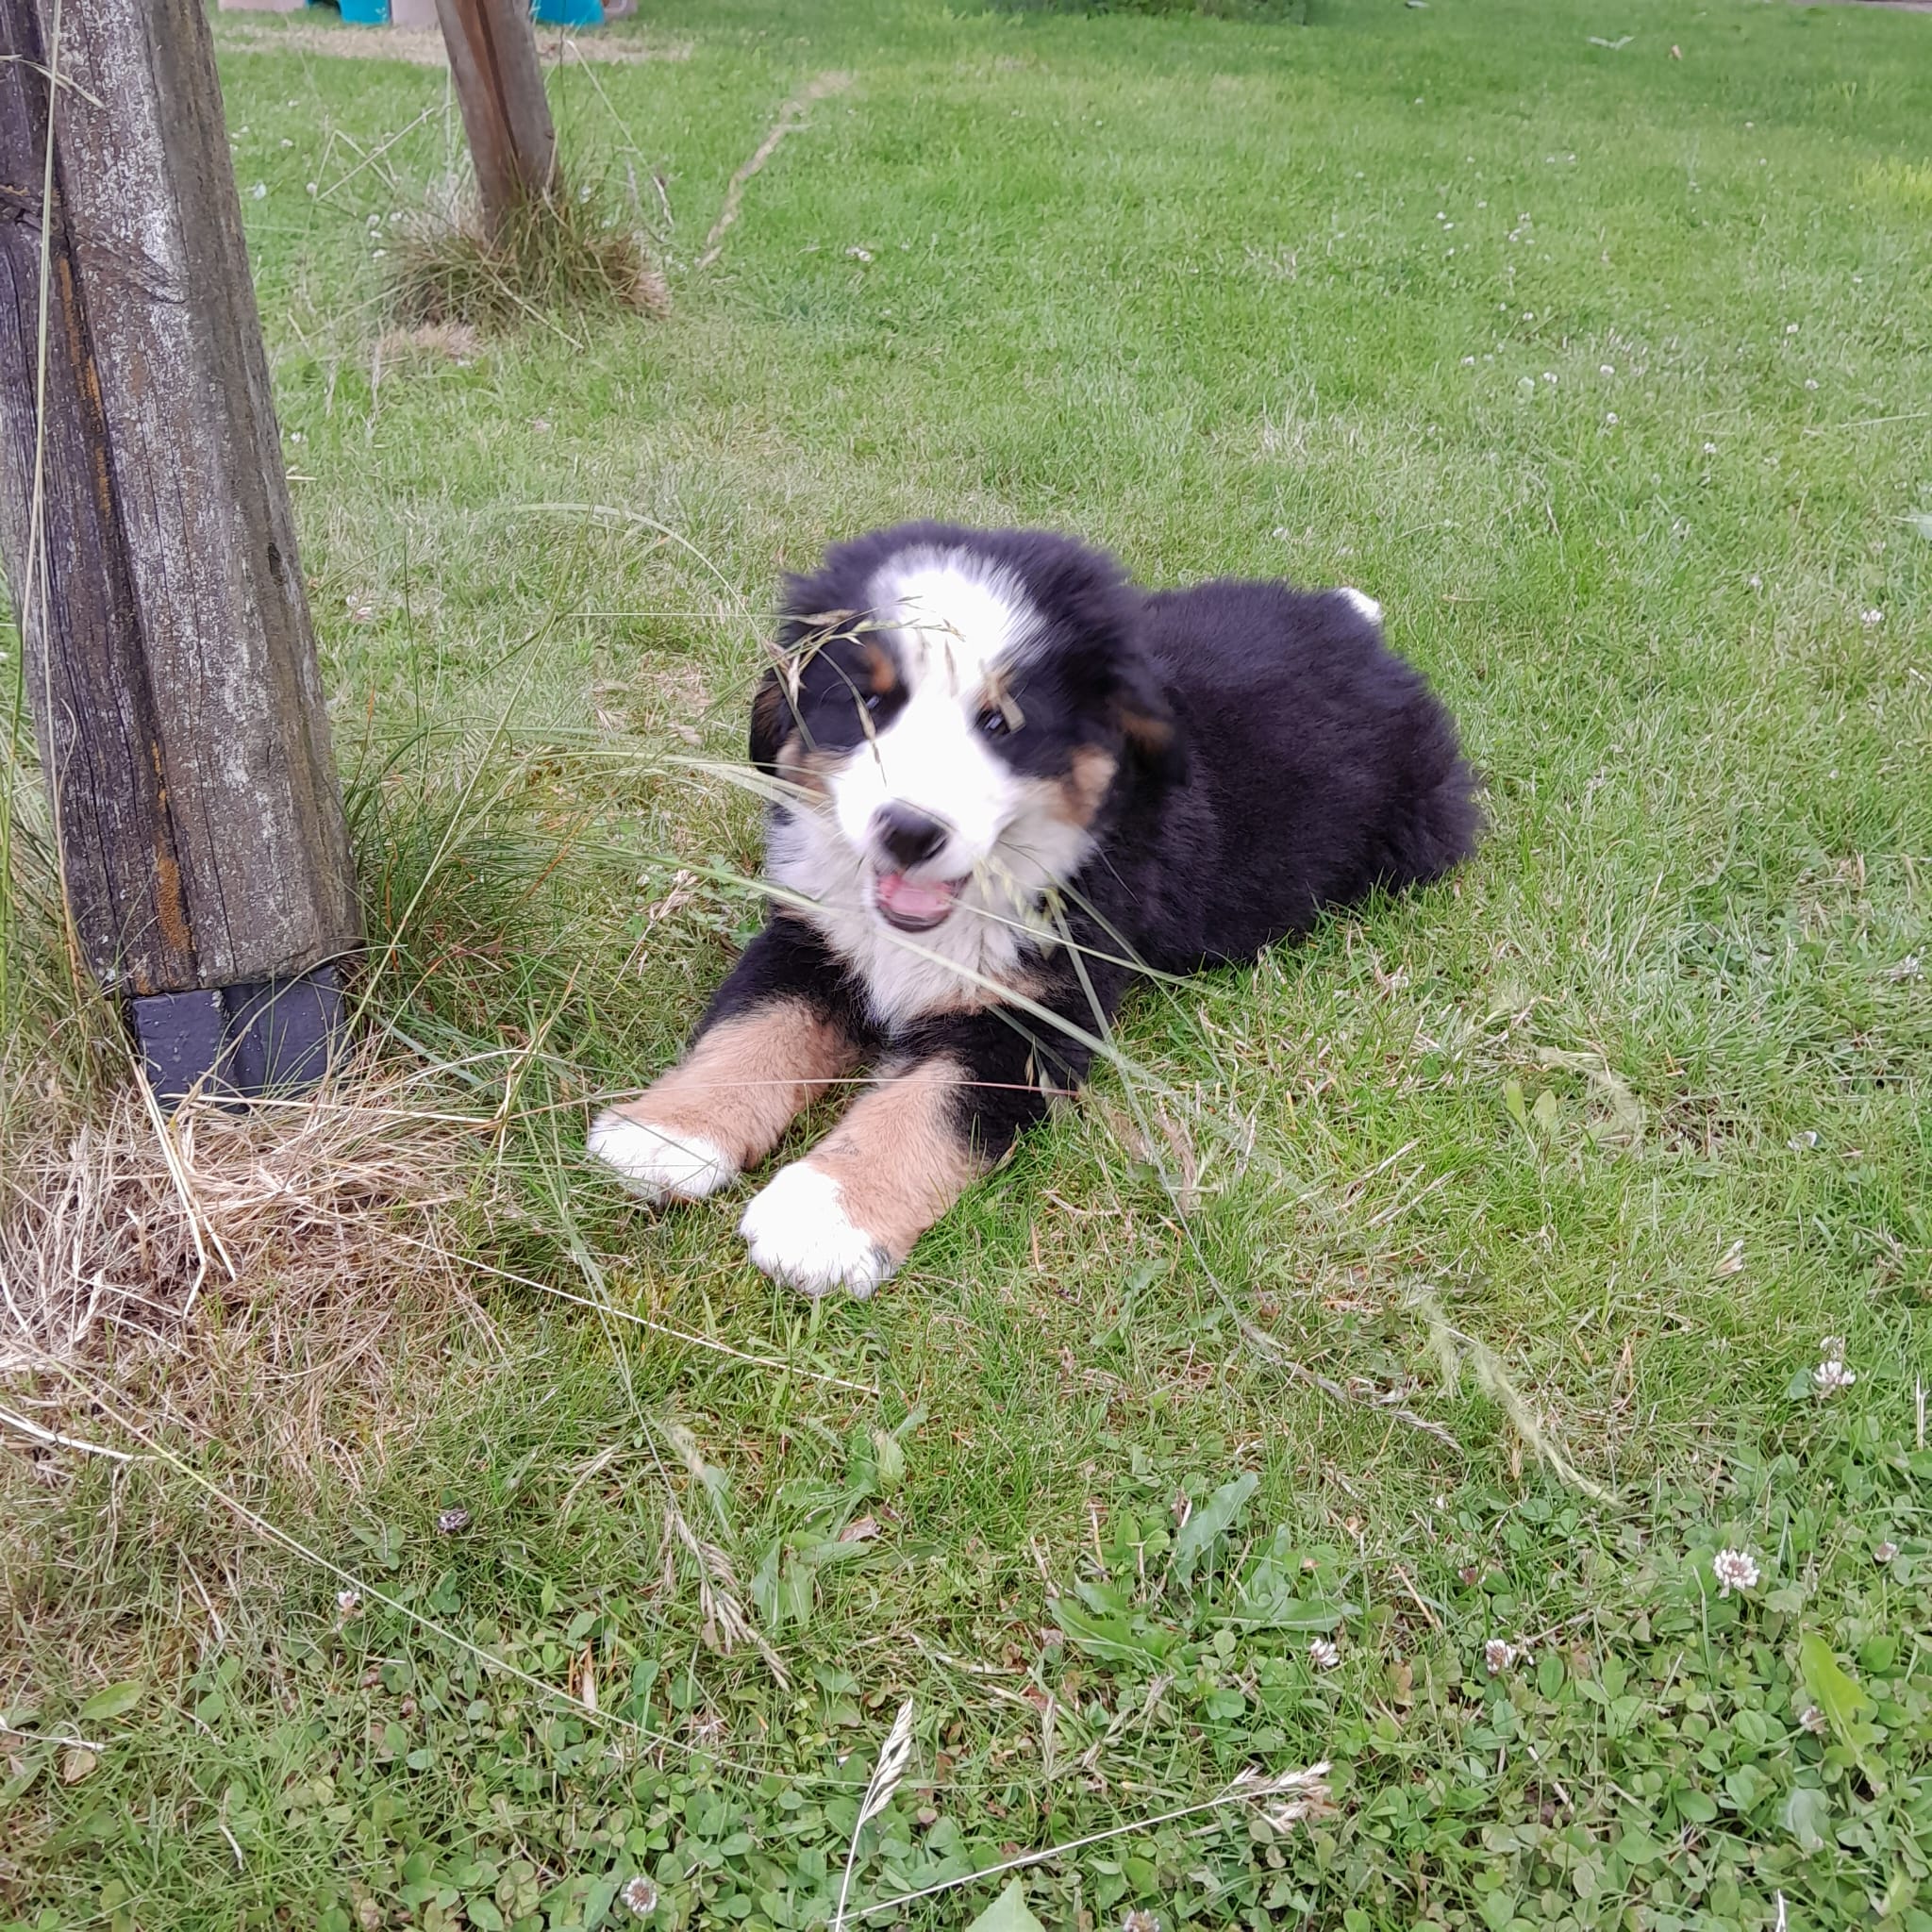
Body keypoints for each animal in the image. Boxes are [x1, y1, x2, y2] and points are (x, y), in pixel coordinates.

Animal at [587, 521, 1475, 1291]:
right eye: (869, 704)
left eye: (1000, 722)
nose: (910, 830)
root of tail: (1352, 629)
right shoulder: (813, 933)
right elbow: (750, 1031)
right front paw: (666, 1134)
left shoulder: (1031, 1014)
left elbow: (927, 1106)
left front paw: (823, 1218)